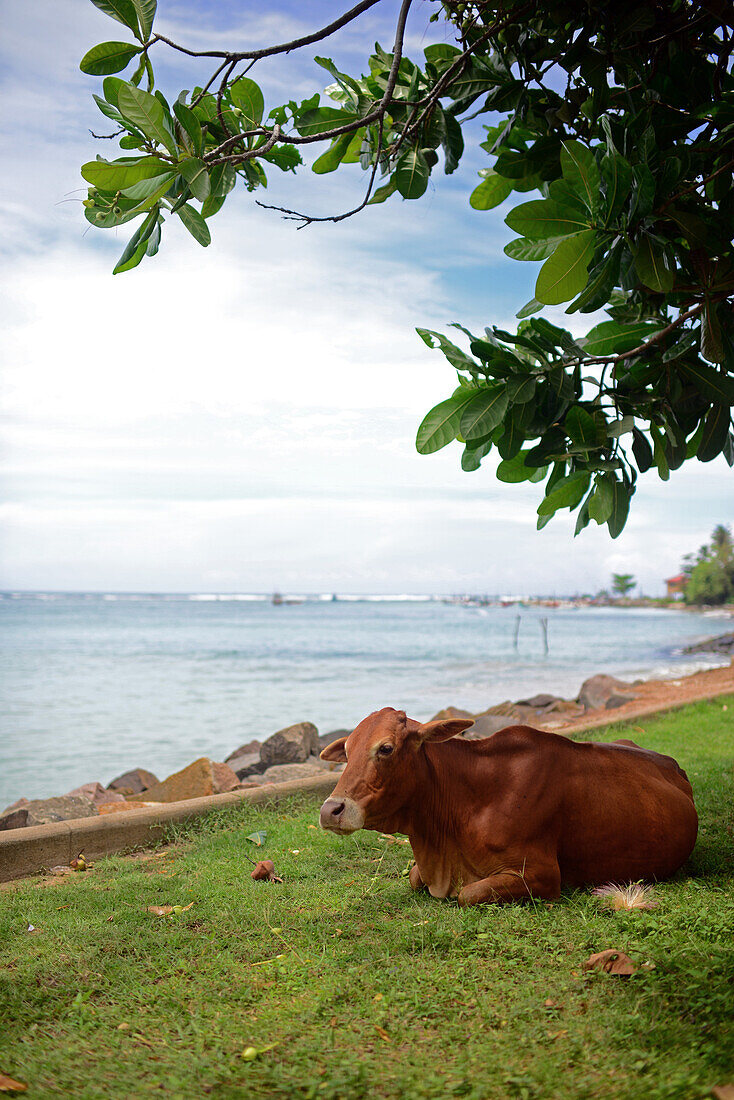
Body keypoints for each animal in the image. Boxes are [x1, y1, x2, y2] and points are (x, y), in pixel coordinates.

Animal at [319, 708, 699, 906]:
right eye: (347, 750)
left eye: (385, 748)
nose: (330, 811)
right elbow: (414, 877)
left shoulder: (542, 875)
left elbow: (468, 893)